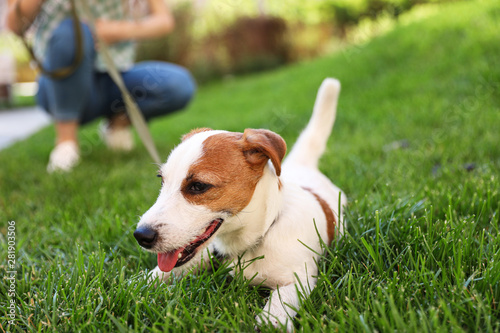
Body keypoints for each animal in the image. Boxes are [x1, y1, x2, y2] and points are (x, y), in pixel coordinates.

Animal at [133, 78, 346, 330]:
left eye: (198, 186)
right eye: (162, 180)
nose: (141, 236)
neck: (253, 240)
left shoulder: (299, 278)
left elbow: (281, 302)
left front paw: (270, 321)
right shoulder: (203, 256)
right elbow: (156, 274)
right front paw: (132, 284)